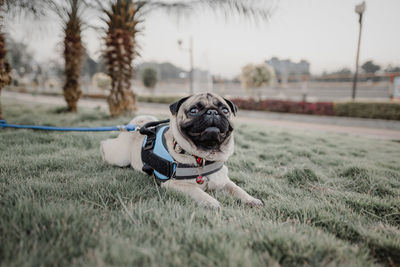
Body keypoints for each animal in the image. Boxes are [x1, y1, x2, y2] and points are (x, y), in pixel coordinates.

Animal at [100, 93, 262, 209]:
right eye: (194, 110)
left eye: (224, 110)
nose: (212, 112)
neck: (203, 157)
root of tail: (135, 126)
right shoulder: (172, 184)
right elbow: (196, 190)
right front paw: (209, 202)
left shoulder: (223, 181)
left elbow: (238, 189)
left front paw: (251, 199)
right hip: (119, 157)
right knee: (106, 145)